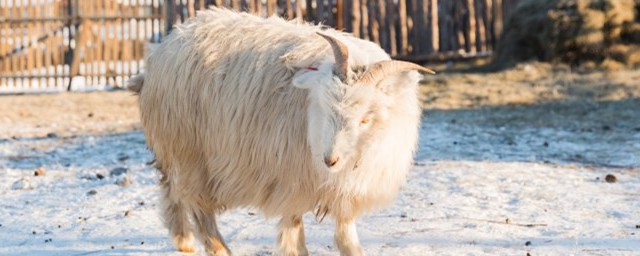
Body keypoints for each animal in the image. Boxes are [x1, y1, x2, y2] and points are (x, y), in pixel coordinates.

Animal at [130, 7, 436, 256]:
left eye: (365, 119)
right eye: (324, 105)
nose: (330, 160)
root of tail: (160, 51)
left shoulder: (343, 187)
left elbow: (345, 231)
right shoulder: (290, 176)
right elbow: (293, 226)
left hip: (176, 150)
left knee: (171, 190)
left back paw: (183, 240)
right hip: (191, 153)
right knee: (198, 205)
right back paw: (217, 247)